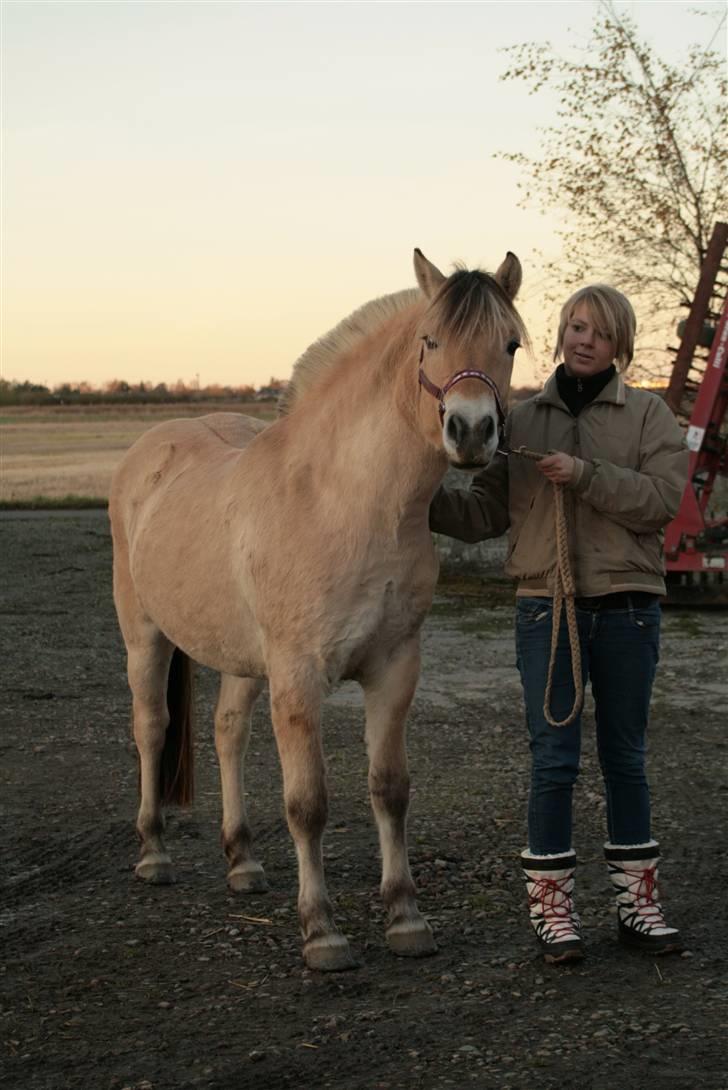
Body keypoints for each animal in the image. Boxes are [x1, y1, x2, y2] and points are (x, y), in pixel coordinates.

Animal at [107, 249, 525, 972]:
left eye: (511, 344)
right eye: (430, 340)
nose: (471, 431)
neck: (346, 502)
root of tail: (149, 451)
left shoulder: (394, 669)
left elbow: (390, 788)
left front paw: (405, 916)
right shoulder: (299, 677)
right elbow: (308, 803)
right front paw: (322, 931)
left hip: (242, 659)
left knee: (227, 732)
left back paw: (243, 861)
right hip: (146, 639)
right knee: (152, 729)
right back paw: (154, 853)